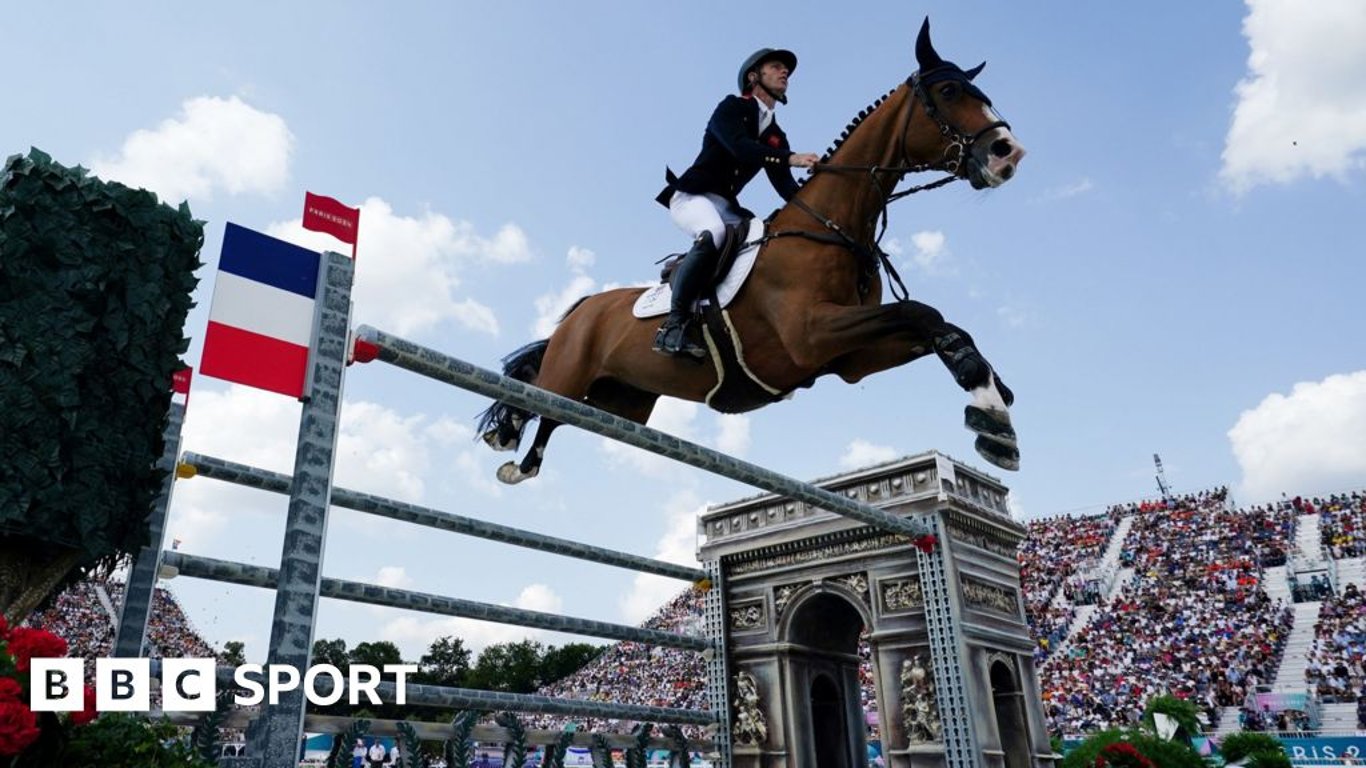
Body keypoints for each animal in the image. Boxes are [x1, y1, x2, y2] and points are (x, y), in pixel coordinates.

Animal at [480, 19, 1027, 483]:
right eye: (949, 91)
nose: (1009, 153)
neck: (833, 227)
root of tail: (580, 311)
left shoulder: (847, 357)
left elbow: (937, 324)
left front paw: (993, 410)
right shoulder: (811, 333)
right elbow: (921, 311)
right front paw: (991, 407)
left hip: (619, 399)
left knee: (559, 415)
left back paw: (519, 452)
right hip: (569, 373)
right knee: (537, 396)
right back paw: (510, 441)